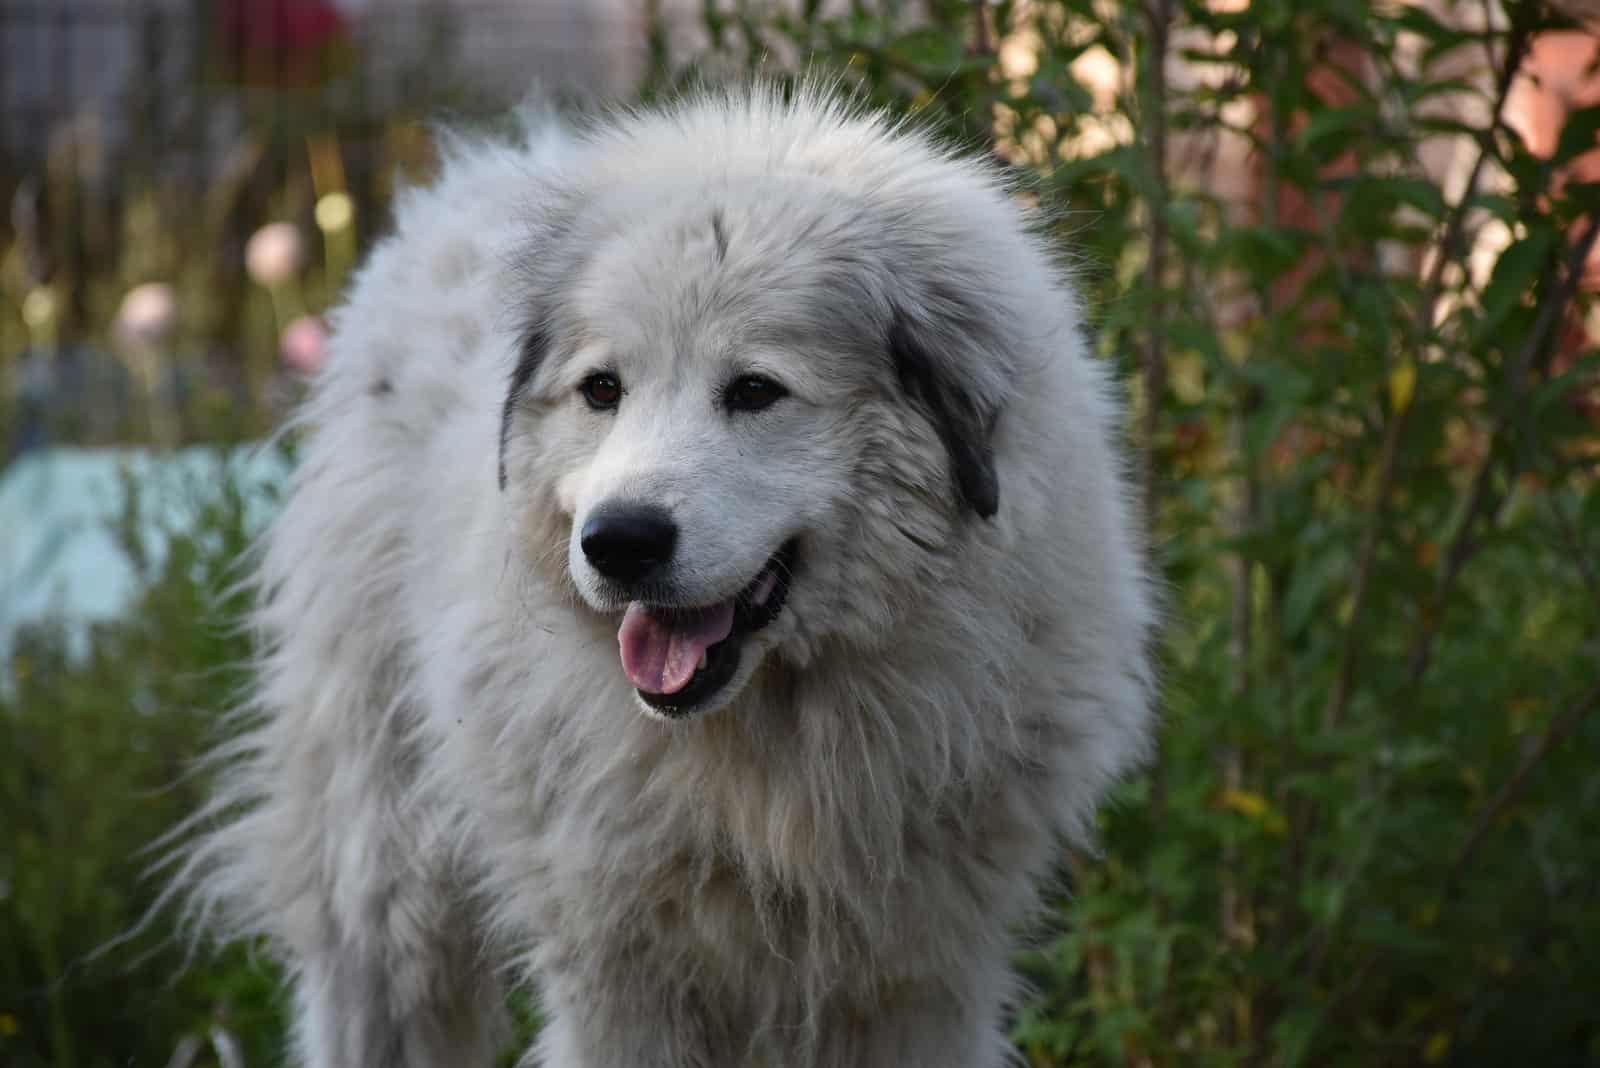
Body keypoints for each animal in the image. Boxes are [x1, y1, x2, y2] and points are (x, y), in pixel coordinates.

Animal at [175, 85, 1158, 1068]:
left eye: (756, 390)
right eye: (603, 390)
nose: (619, 543)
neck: (773, 750)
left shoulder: (913, 984)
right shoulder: (620, 980)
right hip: (387, 886)